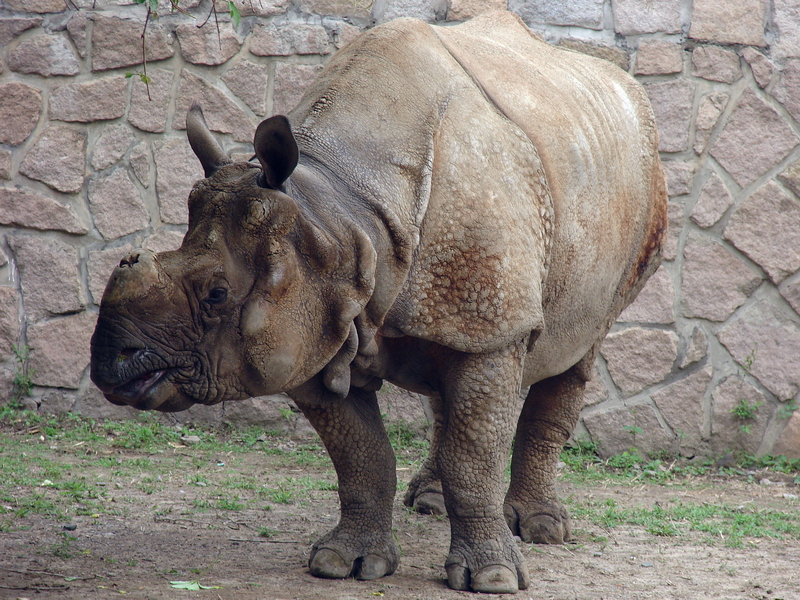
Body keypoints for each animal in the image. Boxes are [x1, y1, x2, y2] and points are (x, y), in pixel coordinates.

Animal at [90, 11, 666, 594]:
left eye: (216, 294)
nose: (109, 363)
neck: (335, 213)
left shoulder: (489, 325)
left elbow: (473, 457)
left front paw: (493, 578)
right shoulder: (318, 322)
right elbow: (360, 456)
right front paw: (343, 565)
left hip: (637, 200)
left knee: (578, 349)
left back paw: (541, 529)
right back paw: (430, 504)